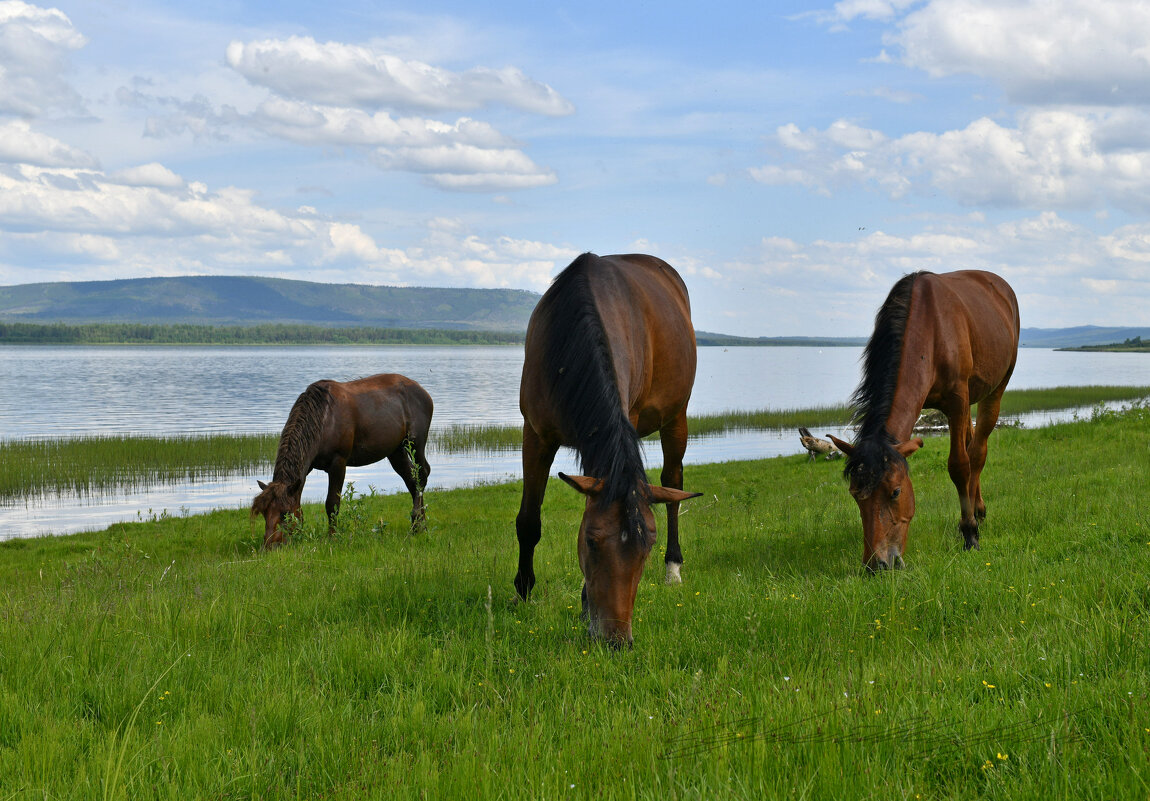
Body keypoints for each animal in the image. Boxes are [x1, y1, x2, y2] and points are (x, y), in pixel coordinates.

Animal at [251, 372, 432, 547]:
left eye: (285, 513)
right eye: (264, 513)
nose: (271, 546)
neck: (323, 419)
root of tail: (423, 391)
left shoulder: (338, 462)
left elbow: (332, 504)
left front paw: (333, 537)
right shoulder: (307, 466)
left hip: (415, 443)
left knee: (422, 475)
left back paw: (417, 521)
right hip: (396, 451)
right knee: (411, 481)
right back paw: (420, 525)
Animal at [515, 252, 699, 648]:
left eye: (646, 549)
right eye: (591, 542)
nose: (616, 641)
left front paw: (585, 606)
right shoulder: (535, 434)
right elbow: (528, 520)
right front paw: (522, 592)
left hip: (677, 415)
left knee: (673, 483)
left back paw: (673, 568)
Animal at [832, 272, 1021, 572]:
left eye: (896, 492)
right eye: (854, 494)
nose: (877, 565)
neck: (930, 334)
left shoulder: (957, 400)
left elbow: (960, 465)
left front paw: (970, 535)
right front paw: (969, 524)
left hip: (997, 387)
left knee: (978, 451)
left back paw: (975, 517)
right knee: (972, 443)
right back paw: (977, 510)